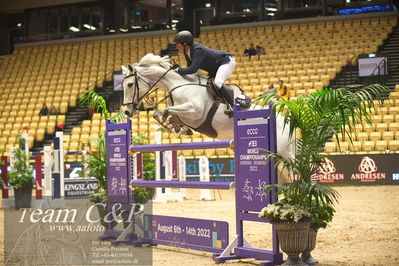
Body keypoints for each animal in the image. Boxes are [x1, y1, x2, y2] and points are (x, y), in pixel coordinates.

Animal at [122, 52, 294, 160]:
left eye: (130, 84)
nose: (127, 112)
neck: (176, 84)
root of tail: (286, 120)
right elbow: (162, 113)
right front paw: (177, 128)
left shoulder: (195, 111)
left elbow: (165, 111)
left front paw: (171, 126)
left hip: (284, 152)